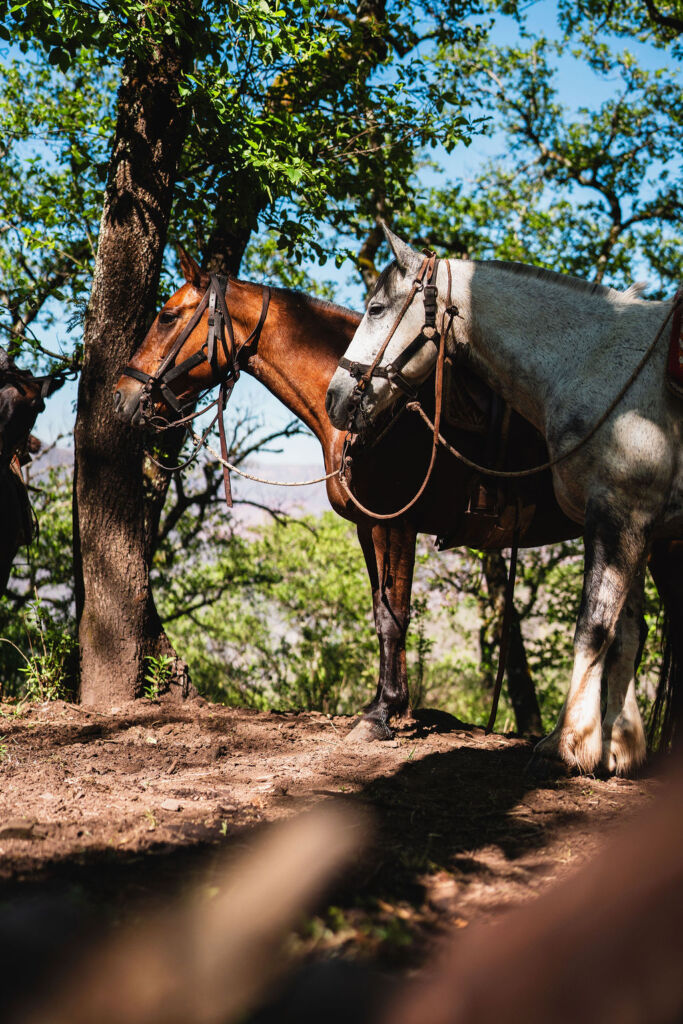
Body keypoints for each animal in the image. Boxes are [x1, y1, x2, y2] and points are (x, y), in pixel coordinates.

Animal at [114, 249, 585, 742]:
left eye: (167, 316)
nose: (121, 396)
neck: (373, 410)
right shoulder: (367, 528)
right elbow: (380, 611)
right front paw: (382, 703)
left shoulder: (394, 524)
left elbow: (394, 617)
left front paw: (382, 714)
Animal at [326, 223, 683, 775]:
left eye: (377, 307)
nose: (336, 398)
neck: (598, 366)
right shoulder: (631, 527)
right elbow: (626, 633)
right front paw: (618, 746)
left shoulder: (620, 516)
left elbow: (594, 628)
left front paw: (570, 742)